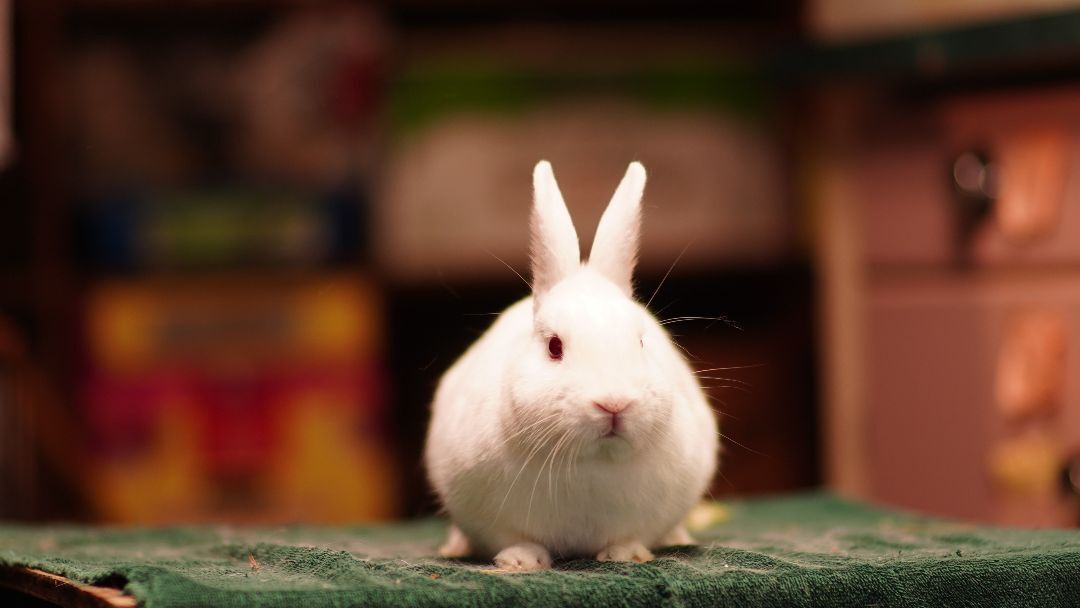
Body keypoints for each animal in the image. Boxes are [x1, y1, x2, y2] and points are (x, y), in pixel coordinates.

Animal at [424, 160, 719, 571]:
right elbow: (514, 538)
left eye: (641, 341)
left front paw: (627, 555)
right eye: (554, 346)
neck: (590, 462)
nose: (613, 403)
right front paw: (521, 561)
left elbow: (631, 535)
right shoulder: (485, 512)